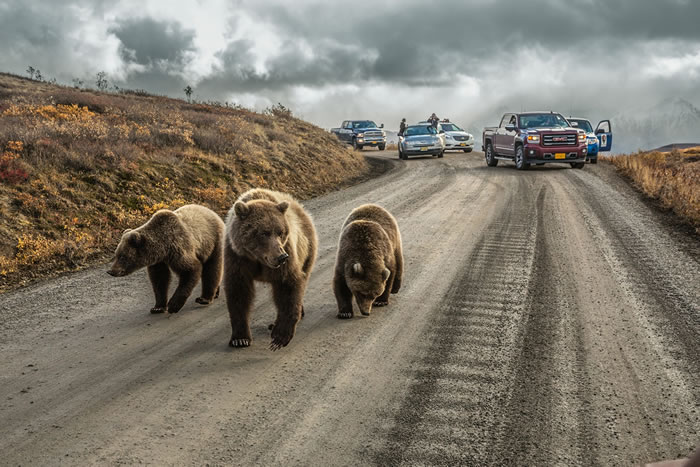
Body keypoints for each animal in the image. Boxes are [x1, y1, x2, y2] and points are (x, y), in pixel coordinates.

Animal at [224, 188, 318, 350]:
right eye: (264, 232)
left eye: (280, 232)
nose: (281, 257)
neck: (257, 259)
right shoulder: (237, 257)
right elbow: (238, 292)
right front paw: (240, 338)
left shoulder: (287, 255)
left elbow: (288, 287)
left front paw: (279, 337)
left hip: (307, 250)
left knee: (301, 281)